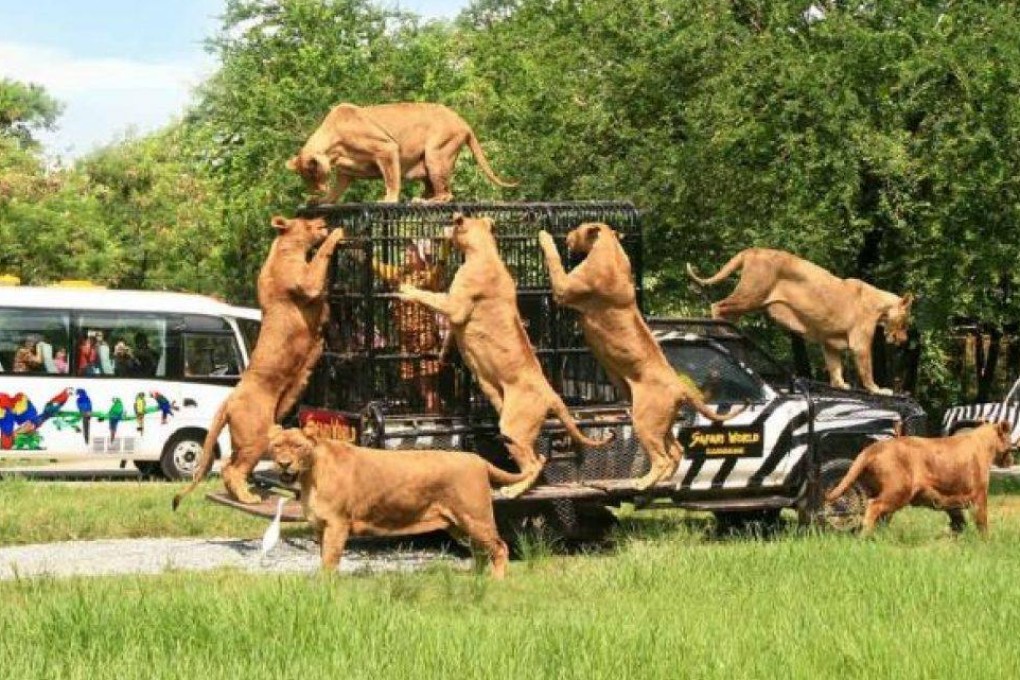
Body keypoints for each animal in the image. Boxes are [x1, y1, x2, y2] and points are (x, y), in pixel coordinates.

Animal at [172, 215, 344, 509]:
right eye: (307, 221)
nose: (322, 219)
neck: (284, 247)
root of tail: (229, 399)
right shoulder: (305, 281)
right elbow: (321, 256)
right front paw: (337, 233)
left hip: (247, 438)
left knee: (228, 465)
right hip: (257, 435)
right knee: (233, 468)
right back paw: (248, 498)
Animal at [268, 424, 527, 577]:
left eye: (298, 446)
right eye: (277, 446)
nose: (284, 463)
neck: (309, 476)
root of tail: (478, 459)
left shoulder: (337, 524)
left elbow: (330, 560)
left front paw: (326, 588)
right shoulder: (320, 526)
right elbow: (323, 557)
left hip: (476, 518)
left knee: (500, 547)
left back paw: (495, 581)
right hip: (459, 525)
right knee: (481, 551)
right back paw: (476, 579)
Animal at [286, 102, 517, 204]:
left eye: (313, 175)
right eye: (306, 179)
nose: (315, 191)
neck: (334, 150)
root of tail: (463, 122)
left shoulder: (386, 148)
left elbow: (391, 178)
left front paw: (388, 199)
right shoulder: (345, 172)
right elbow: (336, 191)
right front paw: (322, 201)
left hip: (436, 154)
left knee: (446, 194)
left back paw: (423, 201)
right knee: (435, 188)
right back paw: (421, 197)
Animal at [688, 248, 913, 395]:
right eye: (905, 322)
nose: (903, 340)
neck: (880, 305)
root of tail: (752, 250)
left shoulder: (829, 342)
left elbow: (835, 366)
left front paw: (840, 385)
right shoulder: (861, 342)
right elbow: (867, 368)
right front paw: (878, 389)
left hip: (750, 300)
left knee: (727, 313)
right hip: (752, 294)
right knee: (718, 306)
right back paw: (722, 332)